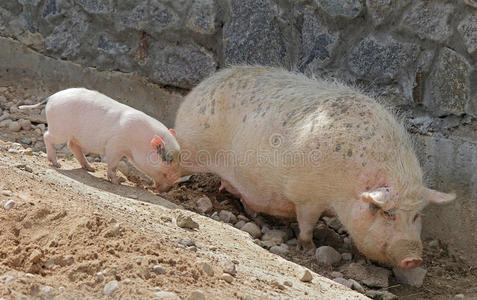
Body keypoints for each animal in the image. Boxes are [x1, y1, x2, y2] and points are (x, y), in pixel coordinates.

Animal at [20, 87, 180, 192]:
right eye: (166, 172)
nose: (171, 187)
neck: (138, 141)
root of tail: (51, 98)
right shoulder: (115, 145)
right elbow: (113, 165)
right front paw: (117, 183)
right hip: (60, 129)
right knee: (48, 136)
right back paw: (57, 164)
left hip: (74, 135)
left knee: (73, 146)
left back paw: (91, 168)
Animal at [174, 67, 454, 268]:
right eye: (387, 213)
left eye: (416, 215)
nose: (413, 259)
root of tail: (198, 89)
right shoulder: (306, 195)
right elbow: (307, 222)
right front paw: (308, 248)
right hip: (190, 145)